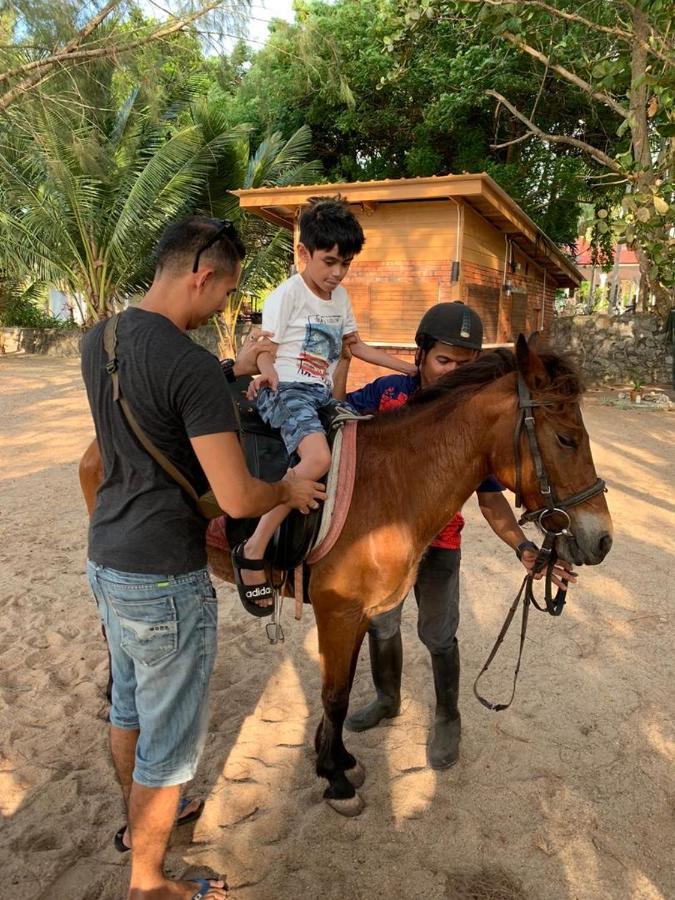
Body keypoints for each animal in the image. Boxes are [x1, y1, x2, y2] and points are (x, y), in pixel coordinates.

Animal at [78, 336, 612, 816]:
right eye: (567, 438)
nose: (602, 540)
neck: (391, 486)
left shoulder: (361, 614)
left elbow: (349, 686)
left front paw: (336, 758)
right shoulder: (337, 612)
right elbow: (333, 696)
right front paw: (335, 777)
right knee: (111, 630)